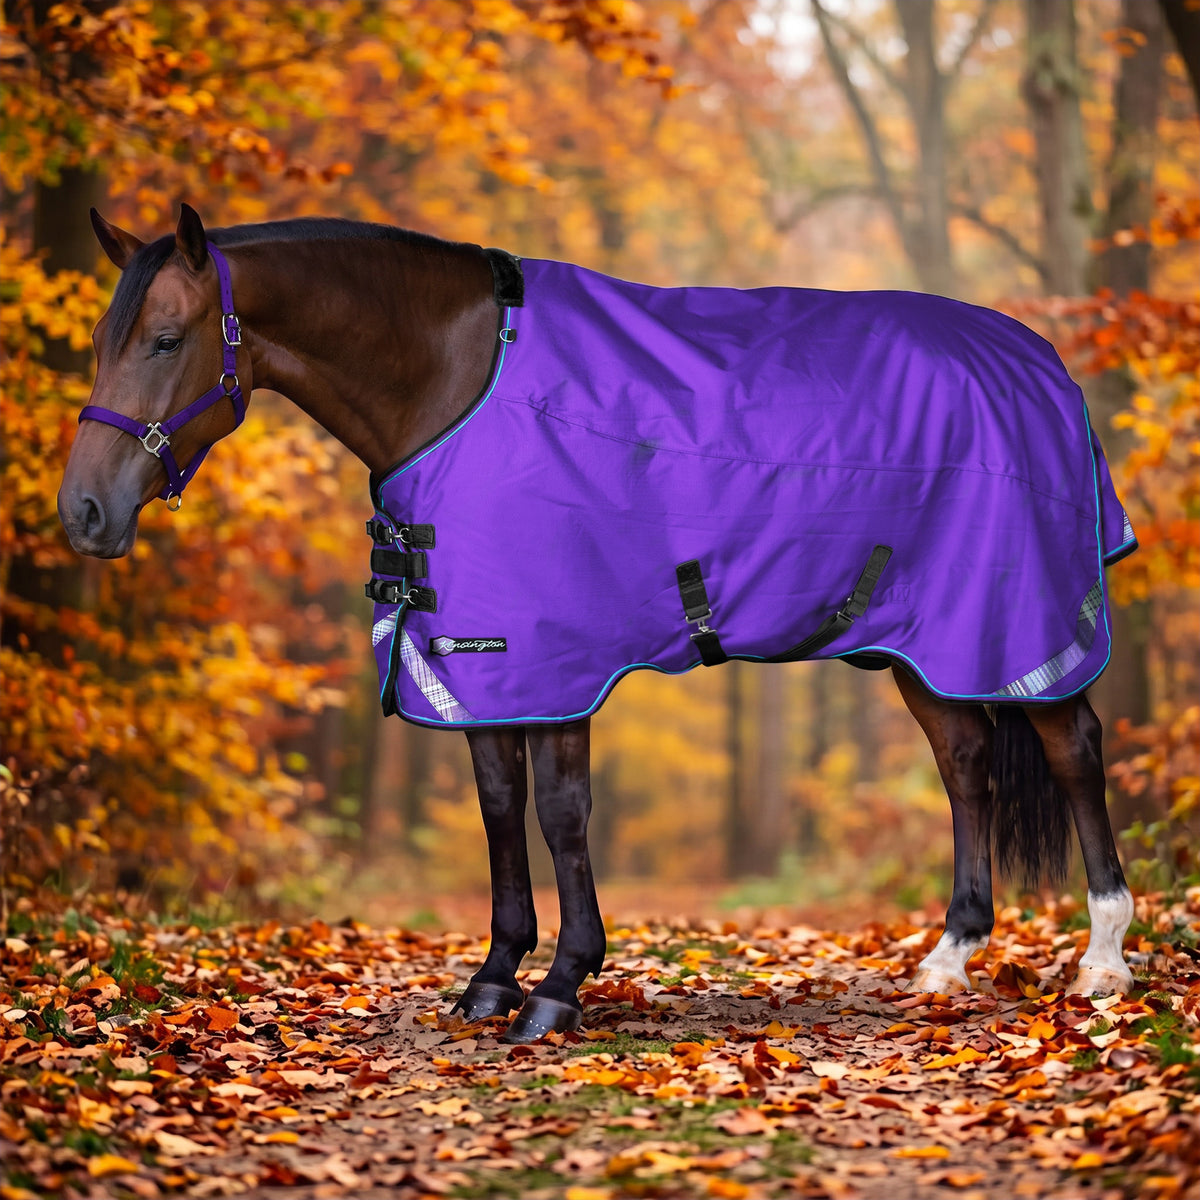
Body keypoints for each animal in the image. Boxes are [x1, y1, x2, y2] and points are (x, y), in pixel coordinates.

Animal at [58, 205, 1137, 1043]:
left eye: (166, 339)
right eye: (105, 341)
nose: (83, 515)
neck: (458, 379)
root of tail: (1040, 362)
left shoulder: (557, 656)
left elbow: (561, 813)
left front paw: (562, 986)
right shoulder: (479, 662)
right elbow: (500, 808)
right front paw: (494, 978)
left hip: (1022, 622)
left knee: (1074, 749)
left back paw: (1104, 961)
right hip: (927, 641)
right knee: (966, 759)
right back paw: (948, 960)